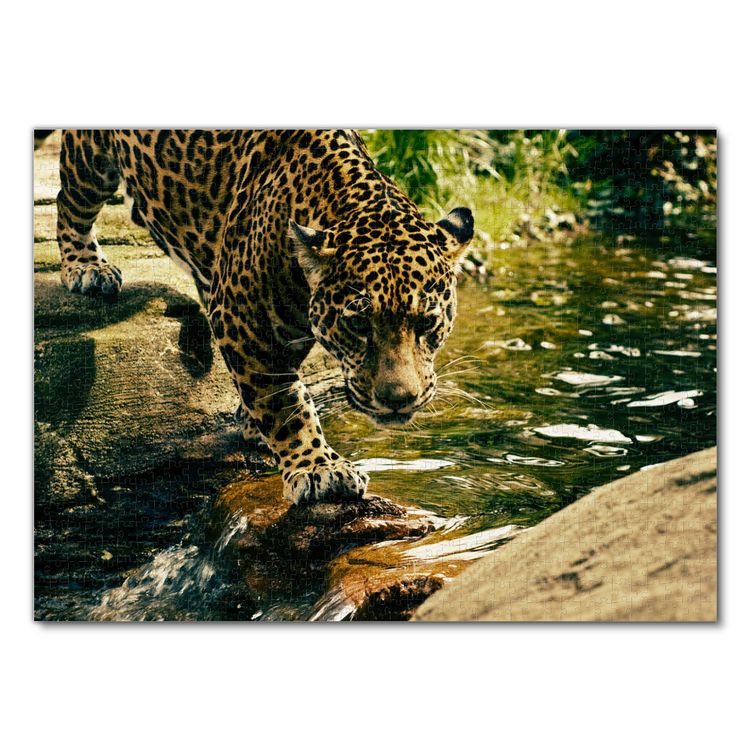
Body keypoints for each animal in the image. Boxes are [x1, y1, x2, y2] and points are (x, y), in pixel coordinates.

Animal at [56, 129, 474, 505]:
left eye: (426, 323)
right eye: (357, 324)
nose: (398, 400)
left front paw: (251, 420)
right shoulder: (242, 318)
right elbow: (285, 401)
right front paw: (318, 467)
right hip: (90, 159)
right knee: (69, 200)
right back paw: (86, 266)